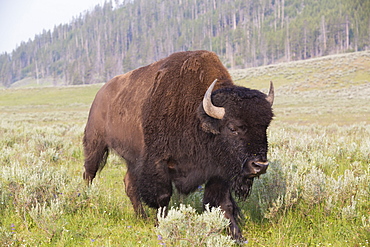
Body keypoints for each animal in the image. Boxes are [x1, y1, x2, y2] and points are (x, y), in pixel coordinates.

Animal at [84, 50, 274, 239]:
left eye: (265, 126)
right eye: (232, 127)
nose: (260, 165)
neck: (198, 117)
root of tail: (100, 94)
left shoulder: (218, 171)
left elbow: (223, 203)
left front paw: (236, 235)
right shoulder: (158, 163)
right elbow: (163, 197)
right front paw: (161, 225)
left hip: (132, 159)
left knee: (129, 184)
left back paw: (141, 217)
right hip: (95, 145)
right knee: (89, 174)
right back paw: (87, 203)